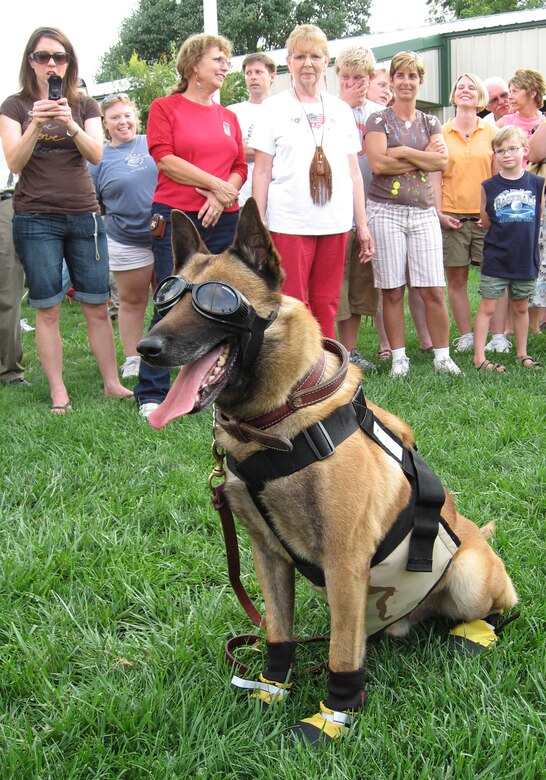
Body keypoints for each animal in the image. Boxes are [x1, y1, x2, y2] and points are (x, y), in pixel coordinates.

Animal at [136, 200, 516, 744]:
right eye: (167, 296)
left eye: (217, 301)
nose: (147, 347)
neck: (276, 421)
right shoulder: (268, 556)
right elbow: (278, 630)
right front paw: (271, 688)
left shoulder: (344, 561)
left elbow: (340, 655)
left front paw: (332, 717)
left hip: (466, 576)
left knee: (500, 609)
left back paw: (474, 635)